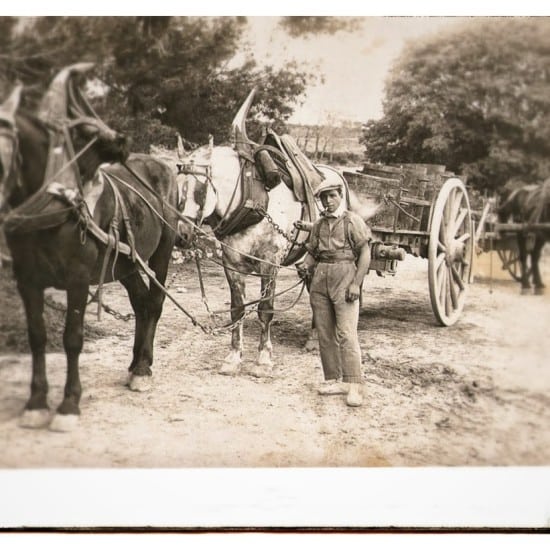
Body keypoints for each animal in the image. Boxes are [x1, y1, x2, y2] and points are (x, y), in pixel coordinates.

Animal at [0, 66, 179, 432]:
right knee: (140, 303)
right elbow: (37, 335)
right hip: (124, 263)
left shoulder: (78, 279)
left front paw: (69, 404)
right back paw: (134, 364)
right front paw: (36, 402)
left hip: (162, 252)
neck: (55, 202)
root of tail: (163, 165)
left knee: (154, 303)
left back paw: (143, 369)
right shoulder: (26, 279)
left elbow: (72, 338)